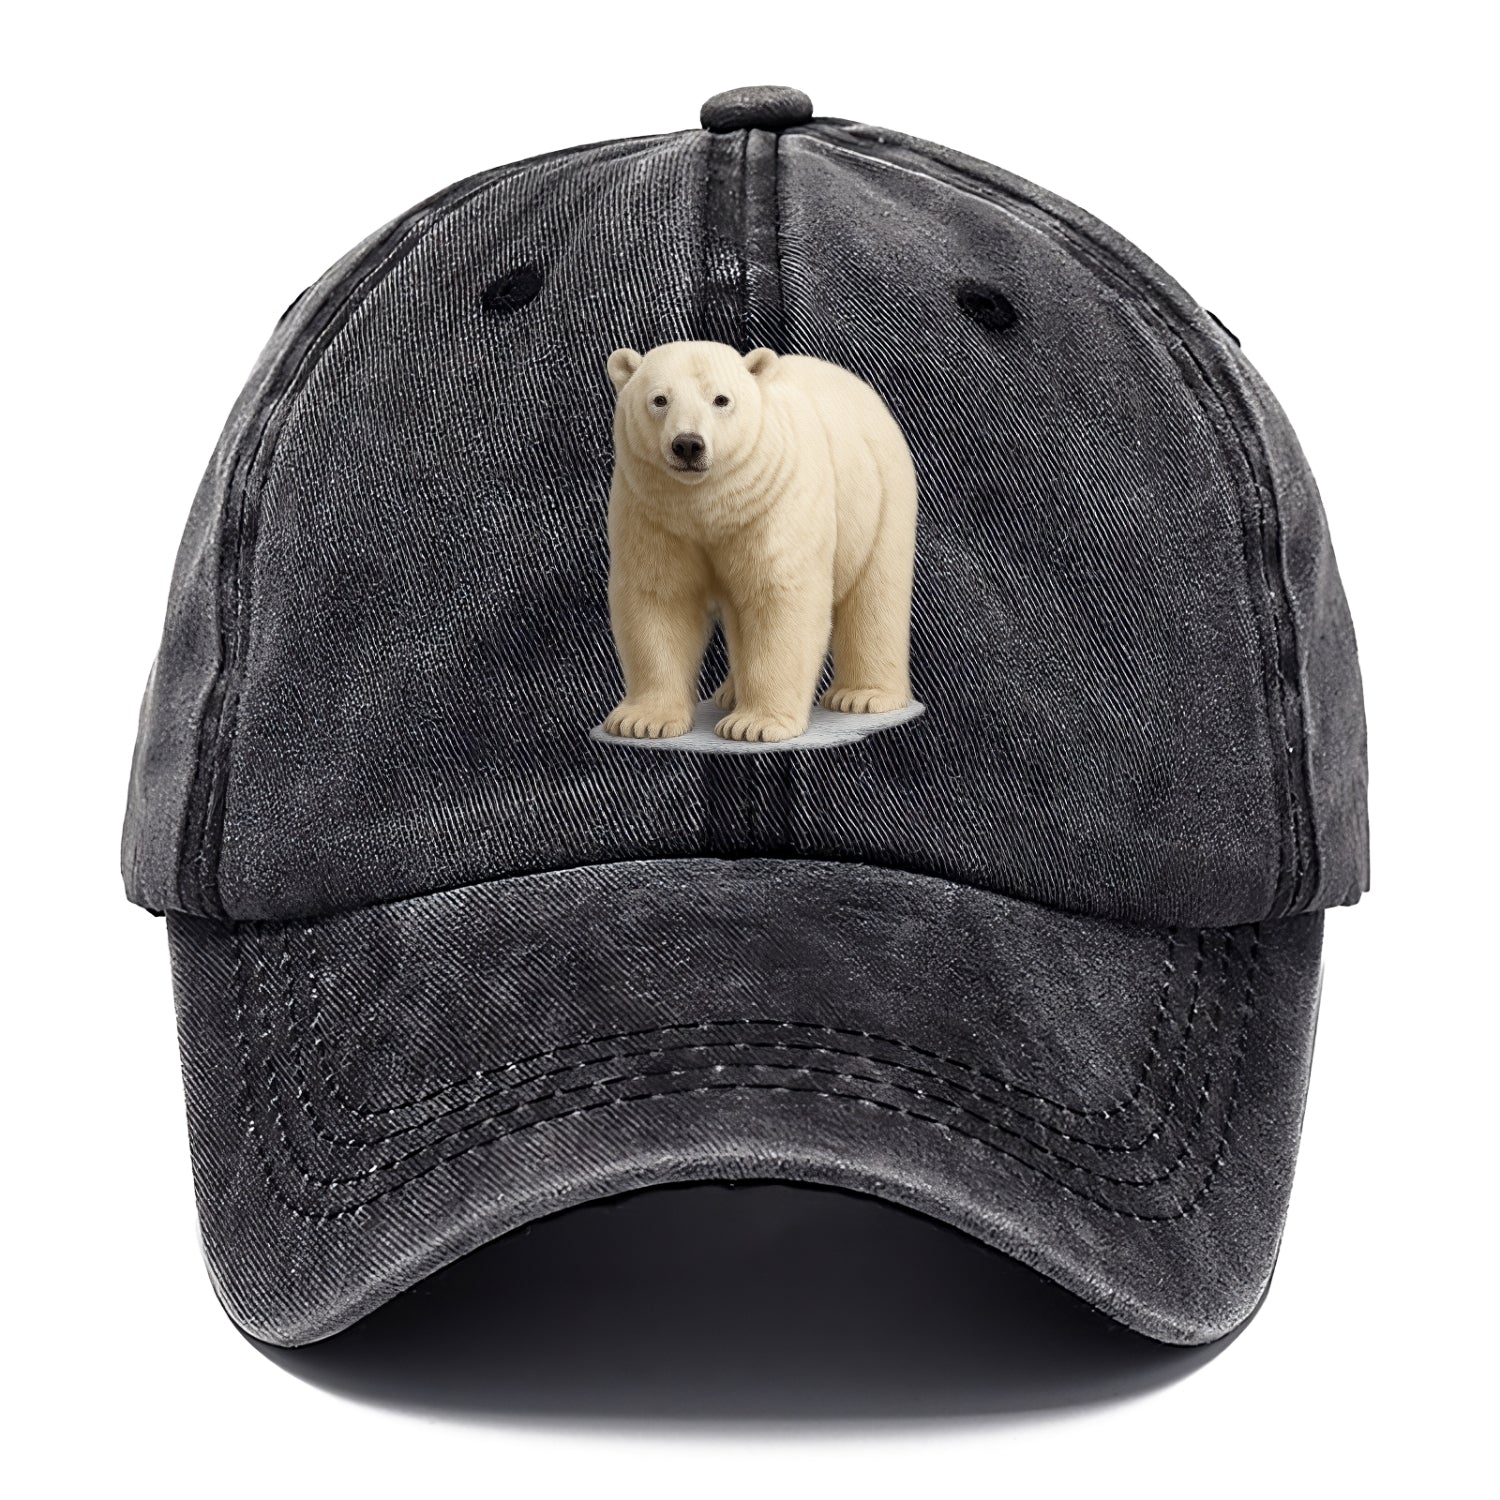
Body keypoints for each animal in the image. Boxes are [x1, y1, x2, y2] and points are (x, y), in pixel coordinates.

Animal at [601, 340, 918, 743]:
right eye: (659, 399)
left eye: (721, 399)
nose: (687, 444)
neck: (707, 505)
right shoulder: (654, 512)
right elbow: (659, 597)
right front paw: (641, 720)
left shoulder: (774, 500)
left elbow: (778, 596)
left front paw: (755, 724)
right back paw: (729, 693)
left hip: (879, 494)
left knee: (876, 592)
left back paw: (862, 696)